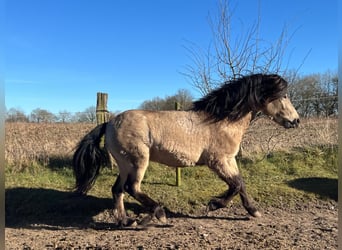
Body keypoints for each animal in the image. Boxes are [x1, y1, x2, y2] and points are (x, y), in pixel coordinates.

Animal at [72, 73, 300, 226]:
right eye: (284, 95)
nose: (296, 121)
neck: (222, 120)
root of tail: (109, 122)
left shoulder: (230, 159)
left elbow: (240, 184)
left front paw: (253, 211)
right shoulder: (218, 161)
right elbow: (235, 185)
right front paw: (214, 204)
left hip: (124, 164)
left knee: (117, 190)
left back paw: (125, 221)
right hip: (137, 161)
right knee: (131, 188)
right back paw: (158, 214)